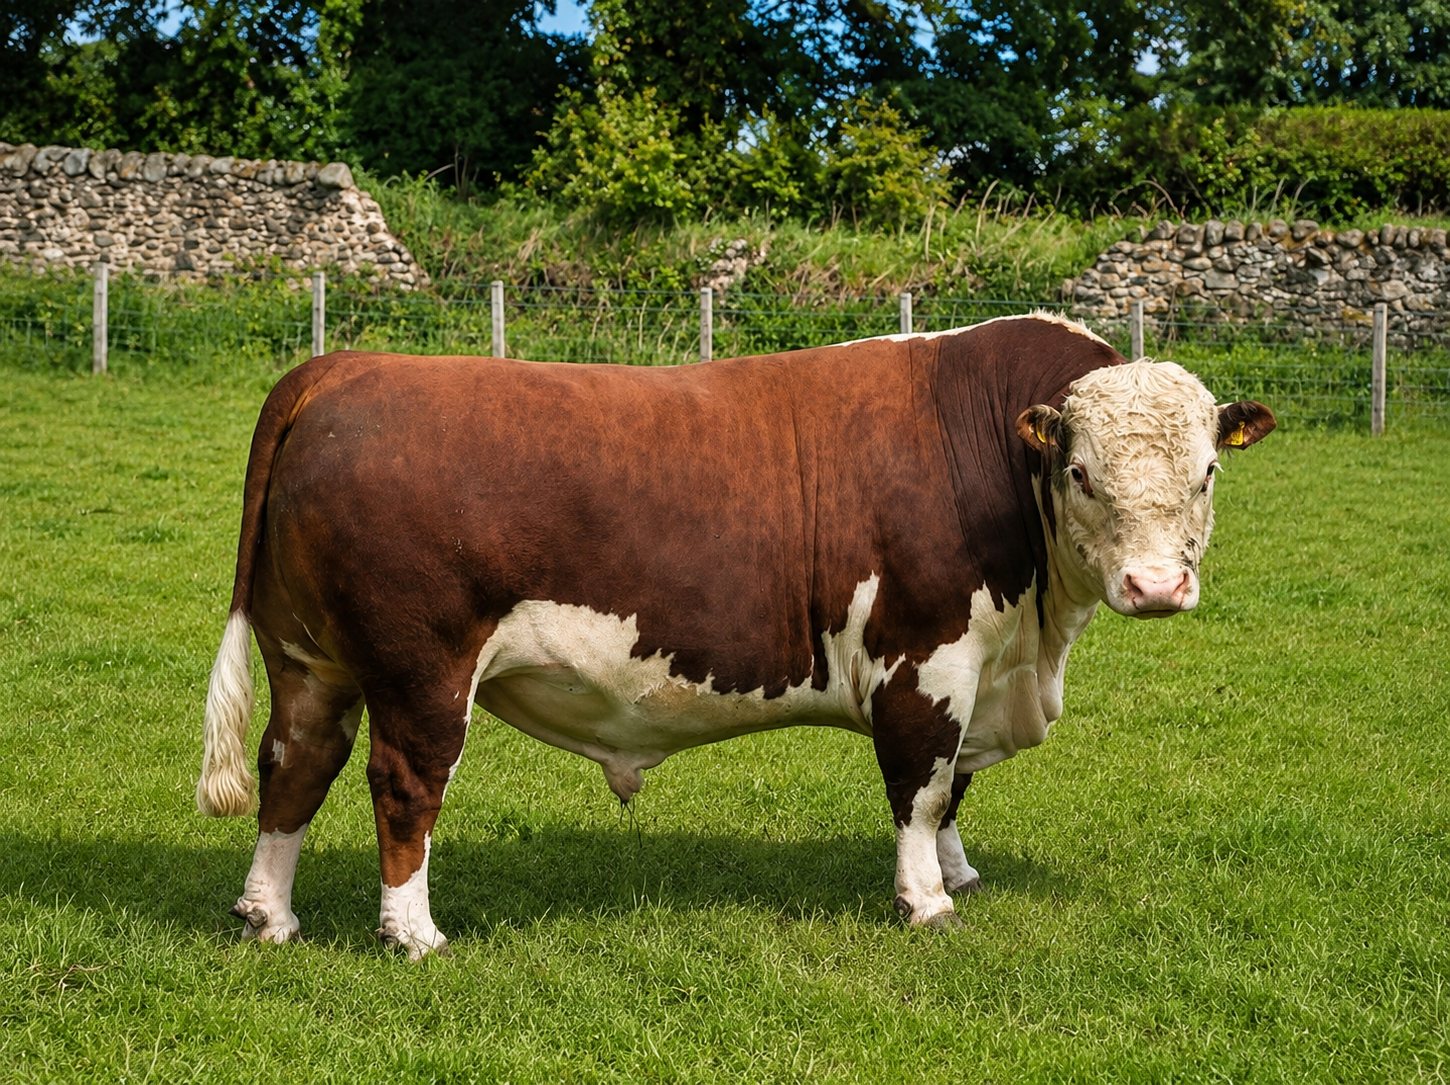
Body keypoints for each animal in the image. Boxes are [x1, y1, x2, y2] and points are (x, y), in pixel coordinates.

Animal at [196, 313, 1274, 958]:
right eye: (1082, 471)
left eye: (1208, 472)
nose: (1155, 585)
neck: (1035, 642)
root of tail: (347, 365)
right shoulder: (925, 656)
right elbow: (921, 784)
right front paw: (926, 898)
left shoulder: (982, 663)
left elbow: (956, 786)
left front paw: (961, 869)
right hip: (422, 665)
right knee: (403, 783)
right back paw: (412, 931)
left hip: (311, 656)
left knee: (296, 762)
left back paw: (268, 914)